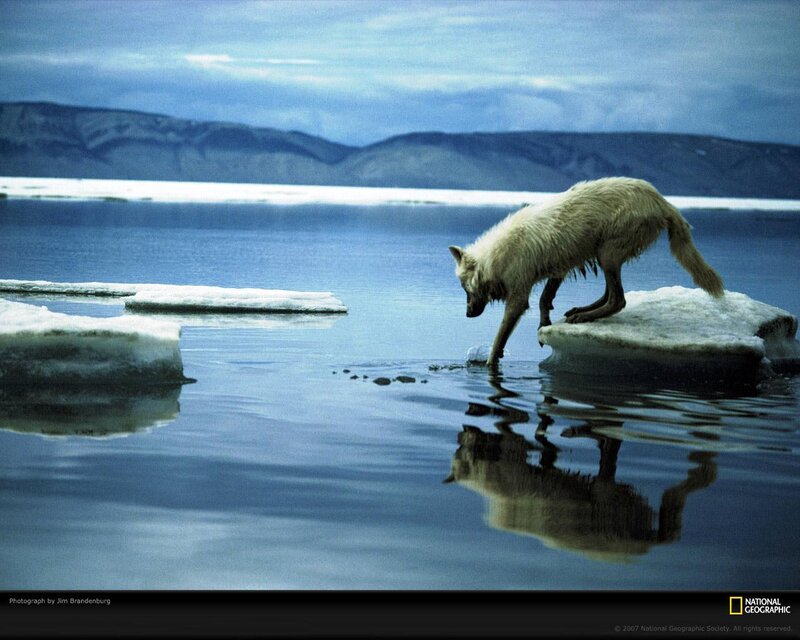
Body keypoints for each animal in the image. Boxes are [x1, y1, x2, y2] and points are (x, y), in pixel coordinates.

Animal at [449, 177, 724, 367]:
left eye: (465, 289)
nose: (467, 314)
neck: (497, 256)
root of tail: (663, 201)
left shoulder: (518, 295)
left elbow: (500, 337)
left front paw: (490, 363)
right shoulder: (557, 270)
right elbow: (544, 299)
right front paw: (544, 324)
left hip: (607, 252)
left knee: (618, 299)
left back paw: (584, 316)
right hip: (603, 255)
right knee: (611, 294)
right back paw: (581, 311)